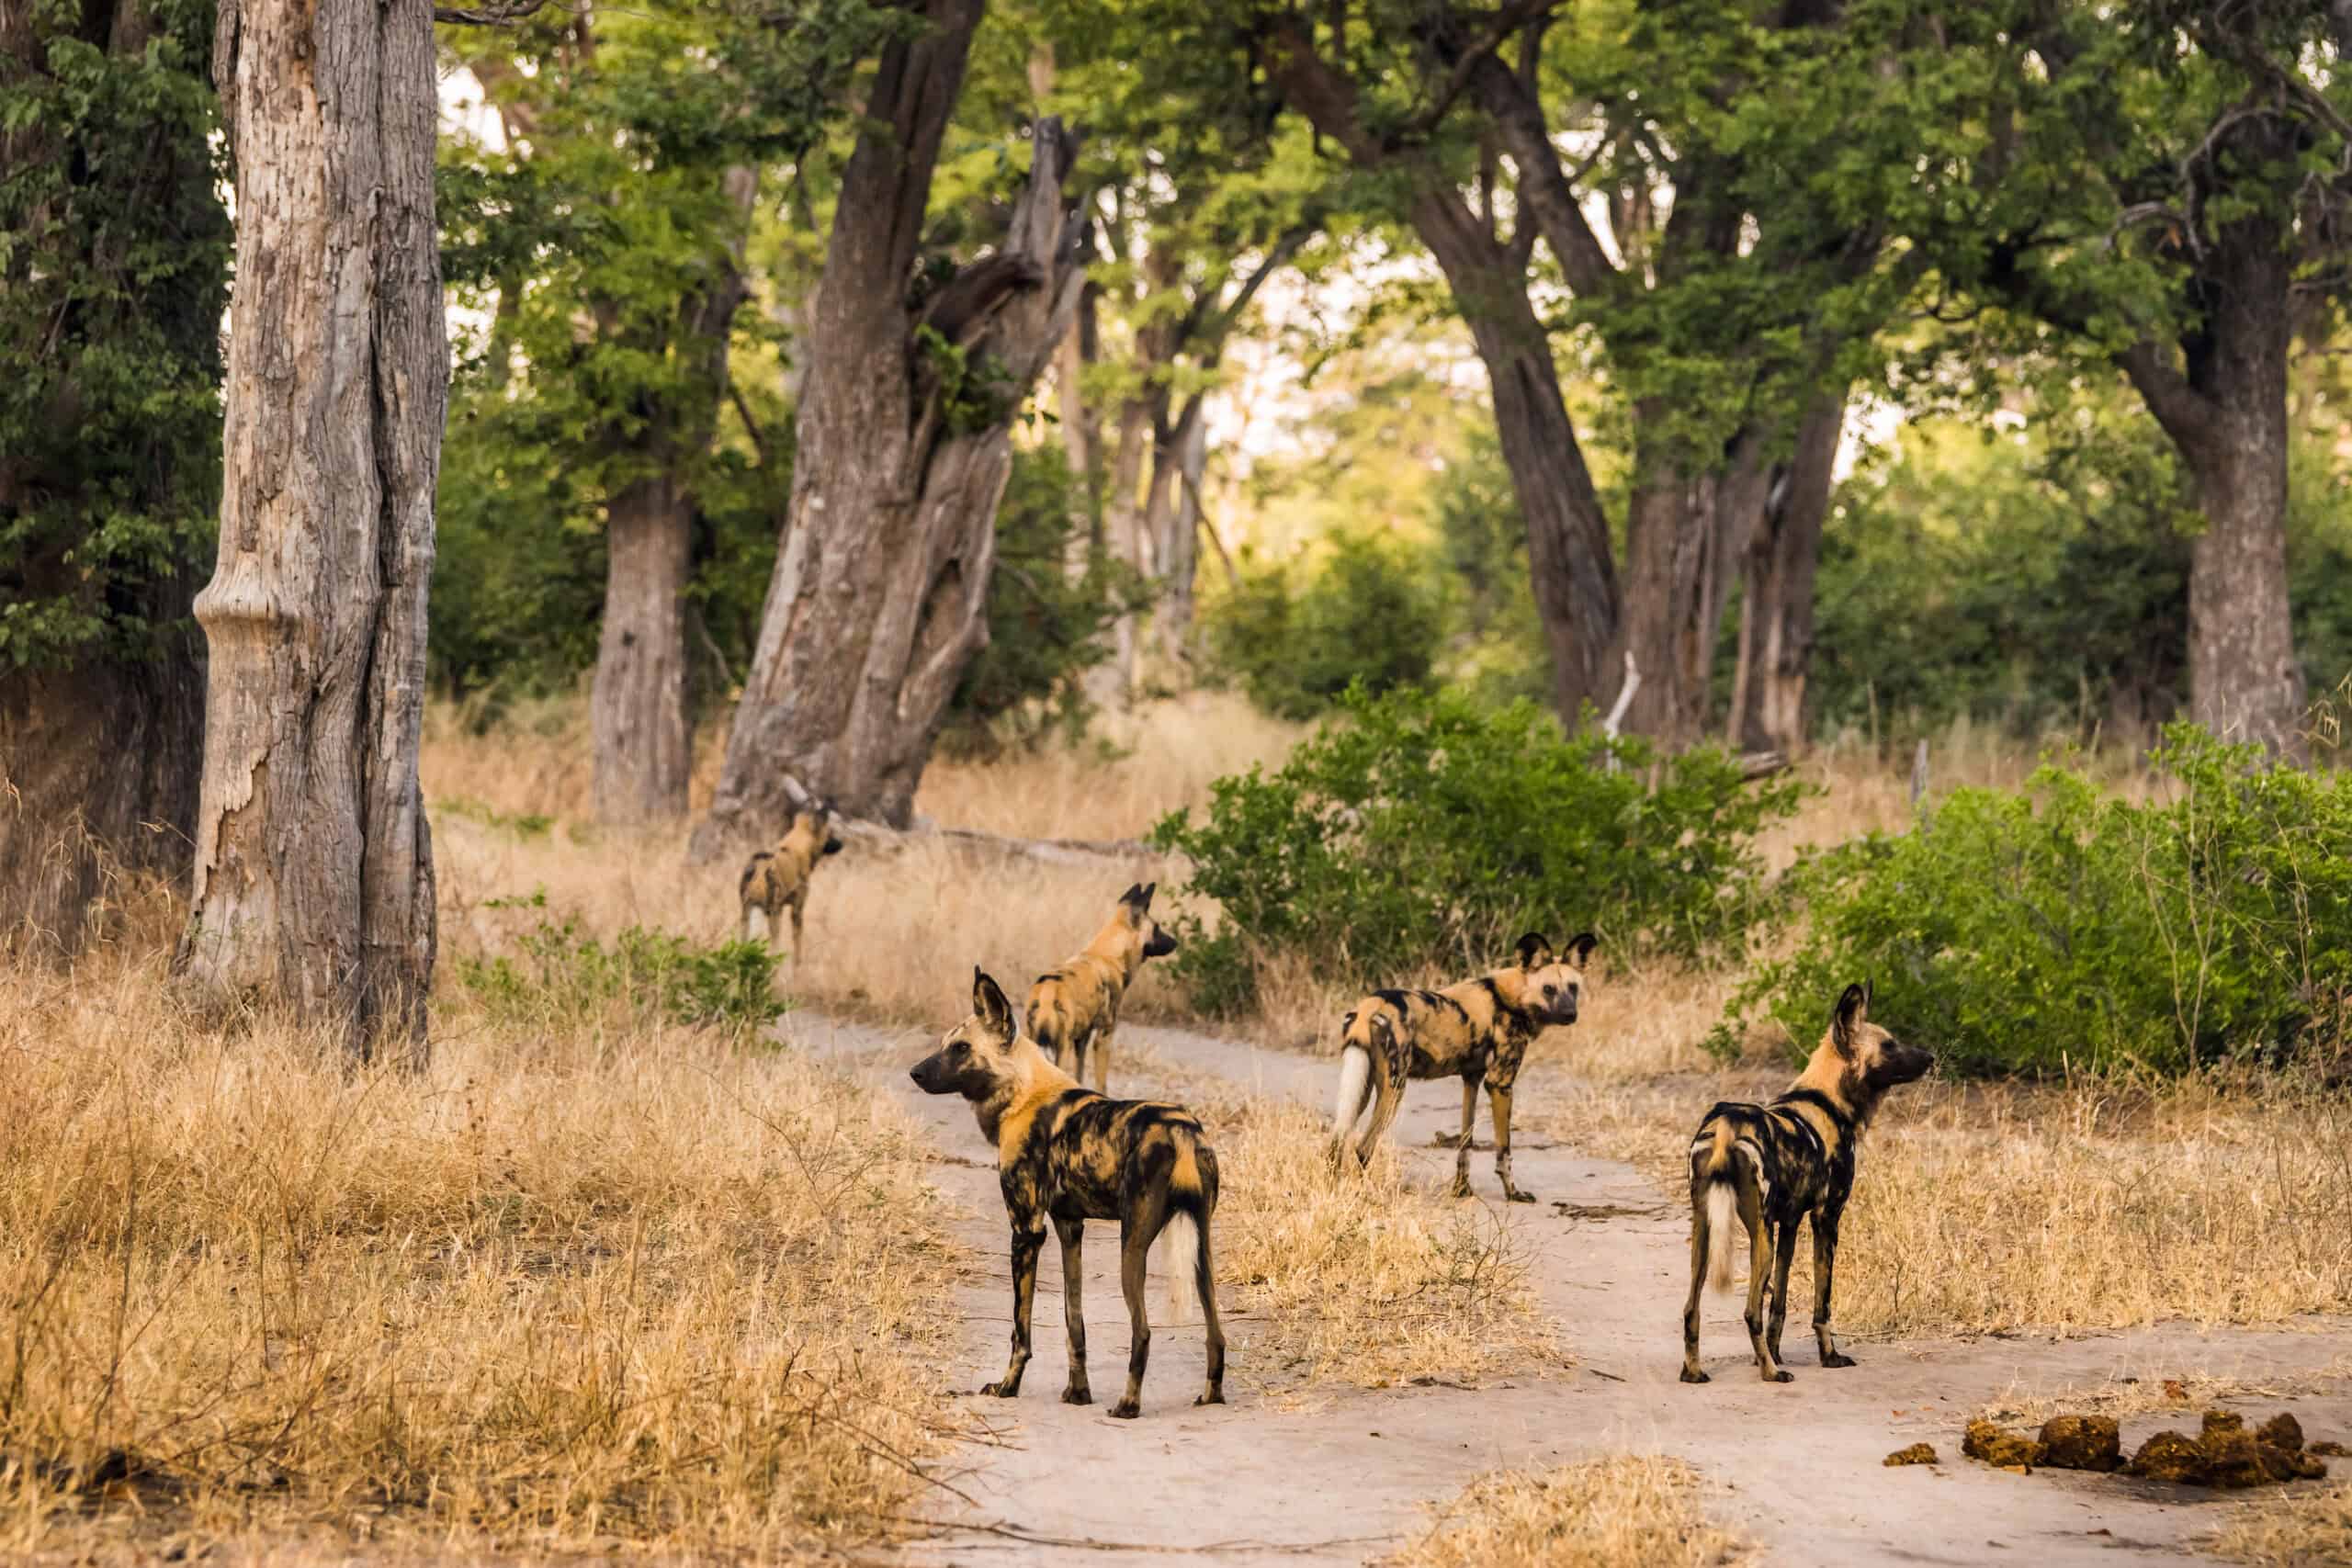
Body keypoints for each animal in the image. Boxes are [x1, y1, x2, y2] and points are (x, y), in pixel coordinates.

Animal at [738, 804, 851, 964]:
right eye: (830, 833)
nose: (841, 844)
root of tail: (761, 866)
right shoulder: (797, 910)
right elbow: (797, 951)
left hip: (746, 914)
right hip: (773, 915)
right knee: (773, 951)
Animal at [903, 968, 1232, 1419]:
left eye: (961, 1048)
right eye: (943, 1045)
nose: (915, 1073)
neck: (1023, 1092)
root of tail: (1182, 1128)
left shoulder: (1026, 1232)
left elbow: (1019, 1331)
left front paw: (1007, 1387)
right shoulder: (1068, 1228)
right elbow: (1073, 1321)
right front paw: (1078, 1392)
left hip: (1132, 1247)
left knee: (1143, 1331)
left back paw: (1128, 1405)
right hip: (1201, 1251)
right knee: (1216, 1332)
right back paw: (1211, 1395)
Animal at [1025, 884, 1176, 1090]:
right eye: (1157, 928)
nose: (1175, 942)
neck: (1110, 954)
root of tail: (1048, 992)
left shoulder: (1082, 1038)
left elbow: (1079, 1075)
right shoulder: (1104, 1037)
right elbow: (1102, 1084)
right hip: (1061, 1050)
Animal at [1326, 931, 1599, 1203]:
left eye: (1573, 988)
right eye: (1548, 989)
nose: (1570, 1014)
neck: (1512, 999)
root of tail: (1371, 1004)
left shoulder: (1472, 1080)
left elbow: (1465, 1144)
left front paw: (1461, 1190)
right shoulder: (1499, 1084)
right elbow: (1504, 1151)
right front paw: (1513, 1193)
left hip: (1362, 1086)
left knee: (1337, 1141)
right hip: (1394, 1089)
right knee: (1363, 1147)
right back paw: (1368, 1196)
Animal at [1683, 982, 1938, 1382]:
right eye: (1889, 1045)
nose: (1929, 1057)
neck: (1827, 1100)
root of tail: (1726, 1125)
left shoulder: (1789, 1222)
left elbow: (1780, 1303)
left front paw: (1774, 1352)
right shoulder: (1826, 1219)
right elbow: (1823, 1305)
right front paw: (1828, 1356)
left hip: (1706, 1231)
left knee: (1691, 1308)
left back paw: (1695, 1371)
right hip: (1759, 1235)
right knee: (1750, 1310)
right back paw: (1771, 1374)